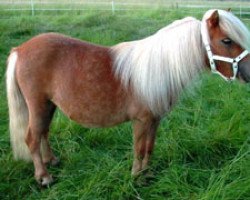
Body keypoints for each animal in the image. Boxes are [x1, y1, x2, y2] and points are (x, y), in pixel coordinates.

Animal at [5, 8, 250, 185]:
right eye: (227, 41)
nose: (248, 72)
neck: (157, 68)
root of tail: (20, 49)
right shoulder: (140, 120)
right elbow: (139, 149)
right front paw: (136, 177)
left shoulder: (154, 120)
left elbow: (149, 147)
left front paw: (147, 175)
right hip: (37, 104)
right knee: (32, 138)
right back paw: (44, 177)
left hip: (48, 105)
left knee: (43, 133)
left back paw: (52, 161)